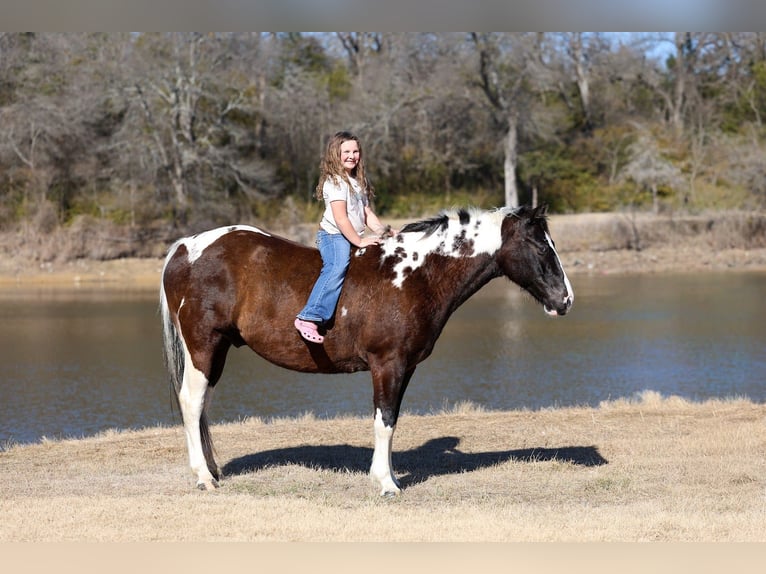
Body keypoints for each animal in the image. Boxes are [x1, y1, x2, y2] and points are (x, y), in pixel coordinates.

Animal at [159, 204, 573, 496]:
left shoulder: (406, 367)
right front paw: (387, 483)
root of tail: (185, 247)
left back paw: (212, 470)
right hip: (203, 346)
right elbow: (384, 420)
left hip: (218, 350)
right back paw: (203, 477)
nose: (565, 300)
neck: (414, 275)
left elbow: (391, 419)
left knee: (203, 406)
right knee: (192, 403)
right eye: (540, 245)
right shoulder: (387, 364)